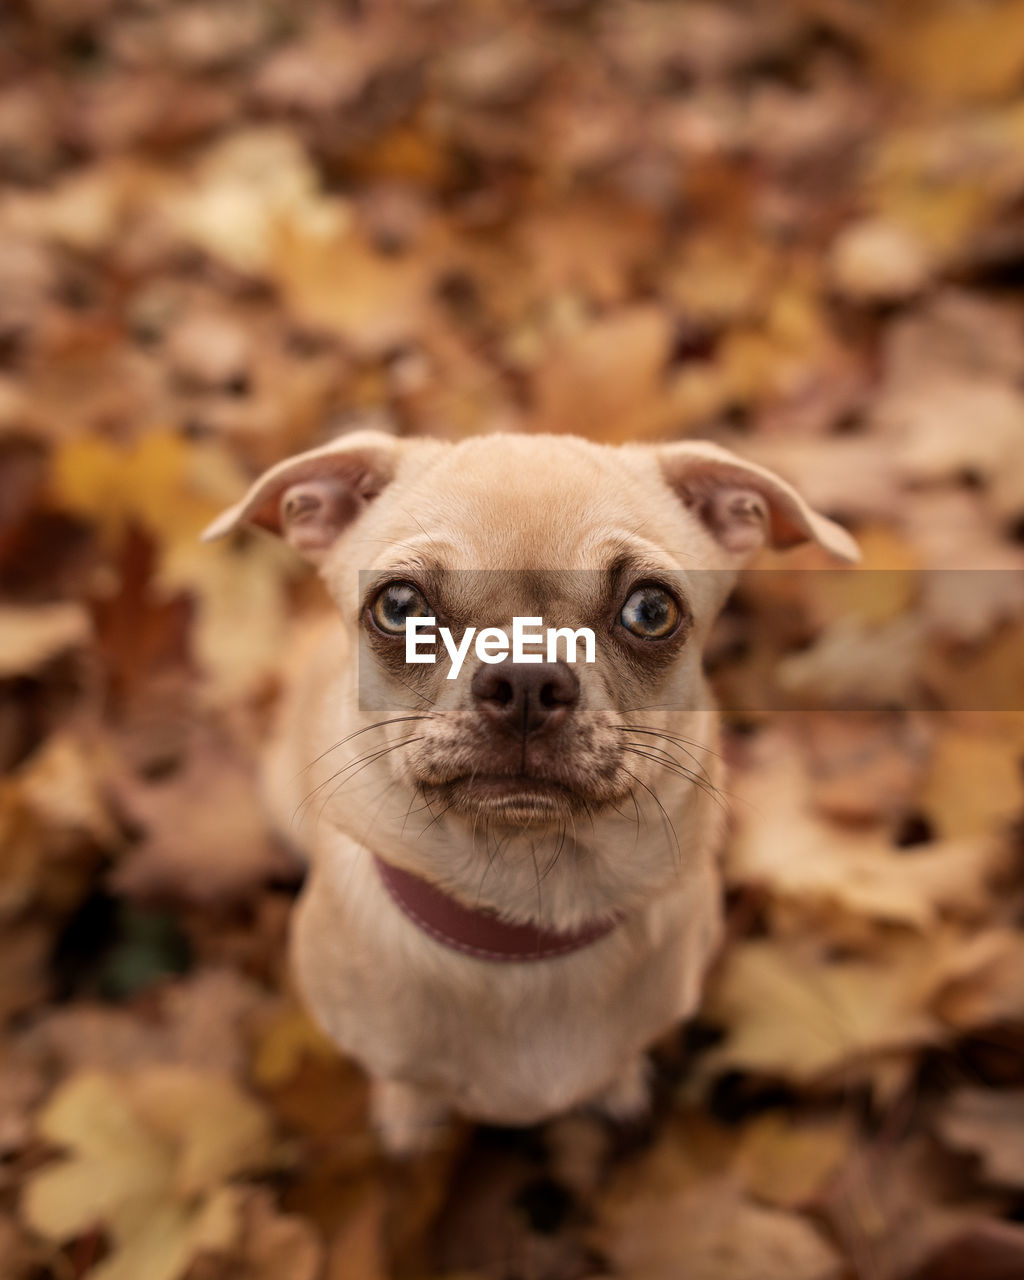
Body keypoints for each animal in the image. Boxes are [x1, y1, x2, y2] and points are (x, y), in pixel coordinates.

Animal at [199, 427, 855, 1152]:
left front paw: (616, 1090)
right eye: (399, 608)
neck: (529, 906)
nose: (525, 679)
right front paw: (410, 1120)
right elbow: (407, 1081)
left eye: (651, 610)